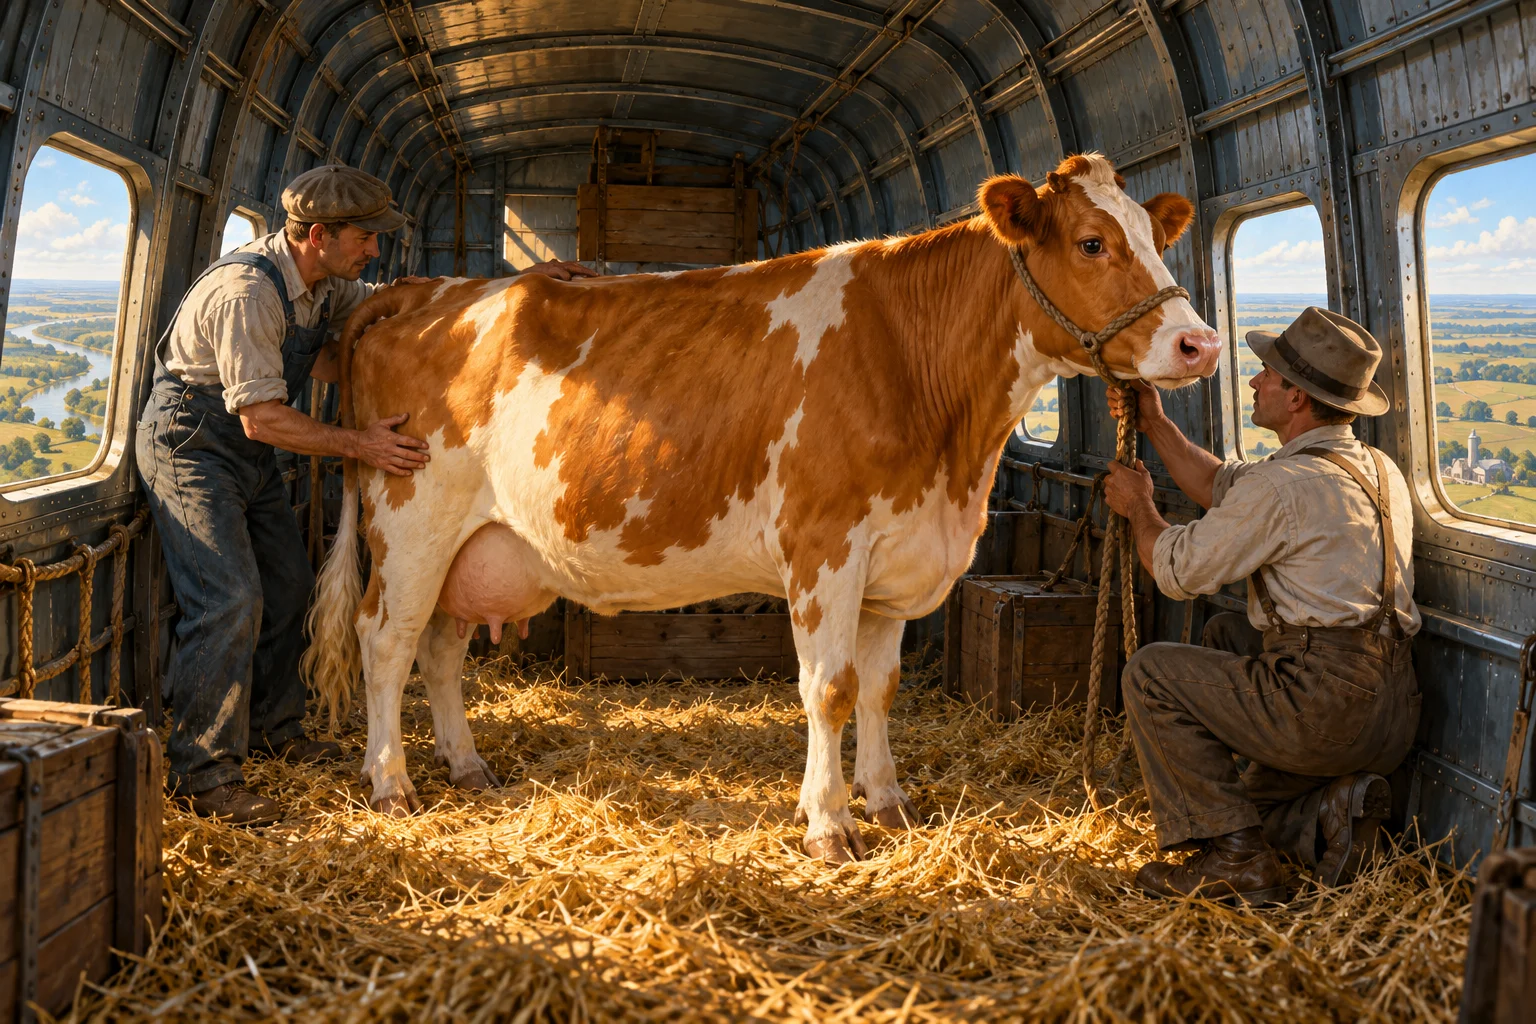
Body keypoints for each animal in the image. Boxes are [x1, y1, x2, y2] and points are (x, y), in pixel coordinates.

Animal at [302, 153, 1221, 863]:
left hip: (472, 546)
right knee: (386, 640)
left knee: (440, 648)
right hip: (412, 520)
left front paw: (888, 803)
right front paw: (829, 826)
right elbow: (829, 688)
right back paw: (391, 782)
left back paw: (466, 766)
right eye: (1092, 242)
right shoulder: (825, 545)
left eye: (1154, 237)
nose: (1199, 343)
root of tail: (421, 288)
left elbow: (881, 687)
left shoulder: (898, 556)